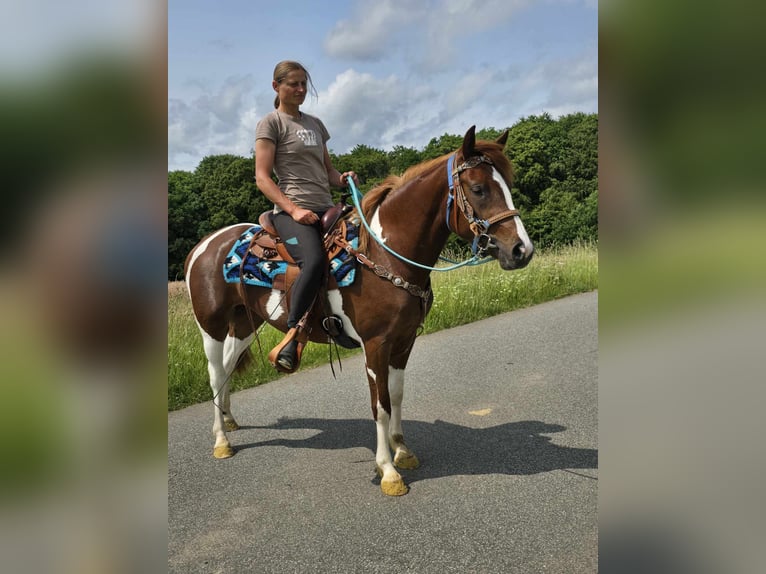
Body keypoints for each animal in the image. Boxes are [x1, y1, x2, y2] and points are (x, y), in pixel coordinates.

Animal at [184, 126, 534, 496]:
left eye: (507, 185)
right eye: (479, 189)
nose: (521, 250)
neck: (385, 255)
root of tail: (203, 246)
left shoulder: (404, 342)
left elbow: (396, 395)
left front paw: (403, 450)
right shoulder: (376, 344)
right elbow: (379, 404)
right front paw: (389, 471)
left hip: (243, 325)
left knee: (227, 370)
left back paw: (229, 420)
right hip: (211, 327)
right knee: (215, 374)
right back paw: (221, 441)